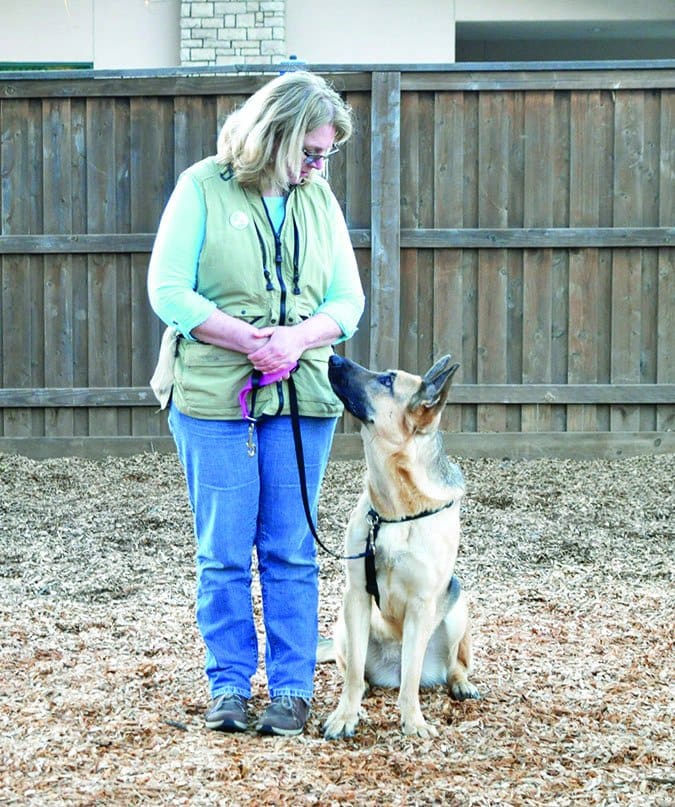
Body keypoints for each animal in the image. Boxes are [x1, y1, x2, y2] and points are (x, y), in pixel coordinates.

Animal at [322, 354, 480, 740]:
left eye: (388, 381)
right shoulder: (357, 595)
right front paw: (345, 715)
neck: (395, 511)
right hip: (343, 624)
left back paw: (459, 683)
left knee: (452, 664)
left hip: (457, 609)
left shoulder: (422, 604)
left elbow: (411, 676)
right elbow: (352, 676)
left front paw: (412, 721)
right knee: (355, 670)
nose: (333, 356)